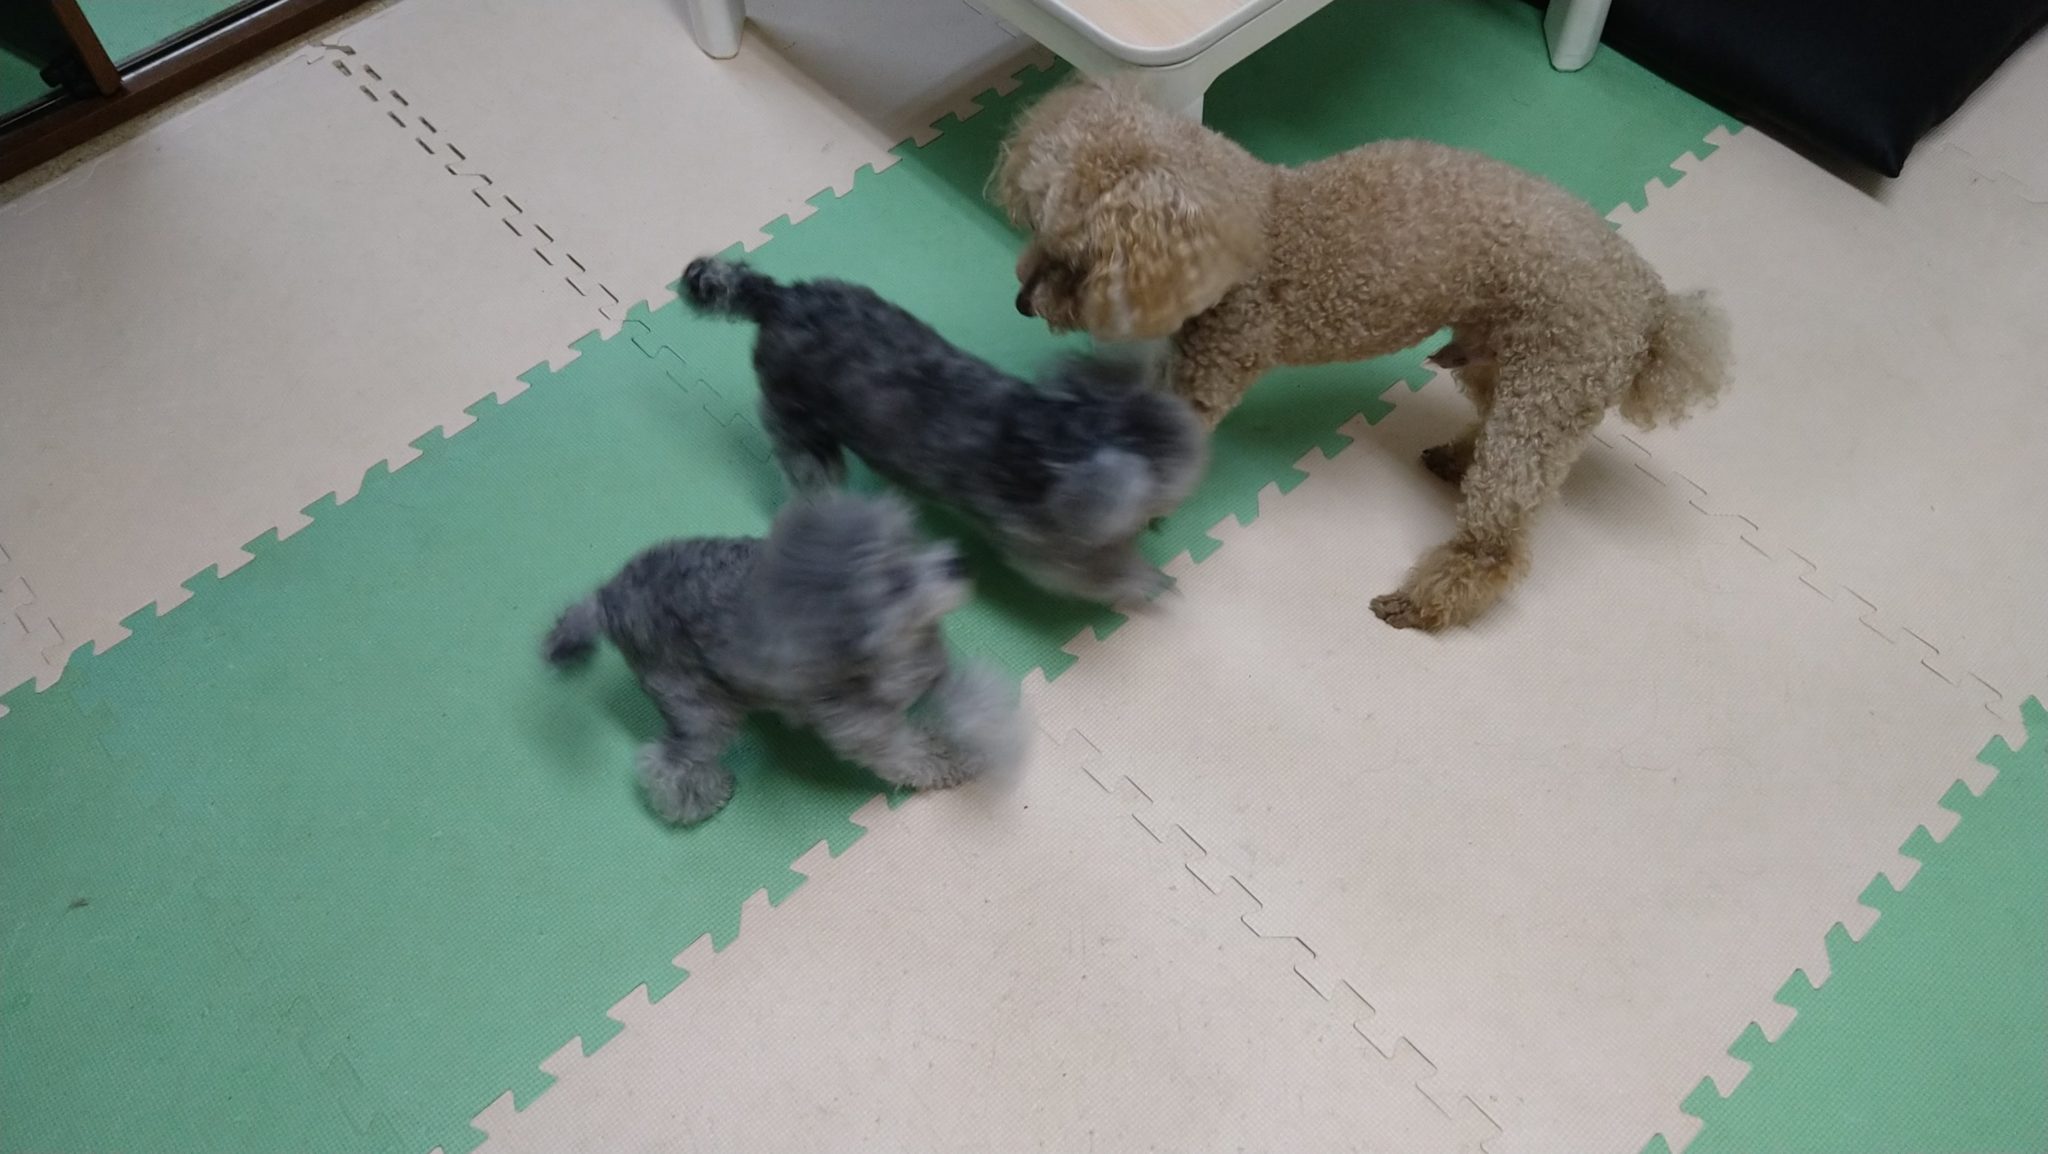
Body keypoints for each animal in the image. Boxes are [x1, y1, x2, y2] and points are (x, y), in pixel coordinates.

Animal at [545, 492, 1026, 824]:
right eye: (894, 582)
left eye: (910, 541)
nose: (960, 562)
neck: (894, 646)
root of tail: (607, 598)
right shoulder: (865, 727)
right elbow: (906, 752)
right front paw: (944, 762)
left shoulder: (934, 670)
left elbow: (976, 700)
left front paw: (986, 740)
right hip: (697, 704)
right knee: (667, 761)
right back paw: (700, 799)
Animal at [681, 257, 1208, 605]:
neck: (1060, 435)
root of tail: (779, 299)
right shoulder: (1048, 555)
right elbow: (1098, 574)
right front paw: (1144, 579)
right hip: (800, 427)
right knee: (811, 476)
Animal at [993, 77, 1732, 631]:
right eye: (1037, 229)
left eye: (1077, 262)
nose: (1021, 303)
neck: (1255, 223)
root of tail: (1653, 305)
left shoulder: (1215, 367)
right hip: (1500, 361)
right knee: (1501, 436)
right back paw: (1455, 457)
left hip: (1551, 385)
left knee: (1499, 537)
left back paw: (1427, 599)